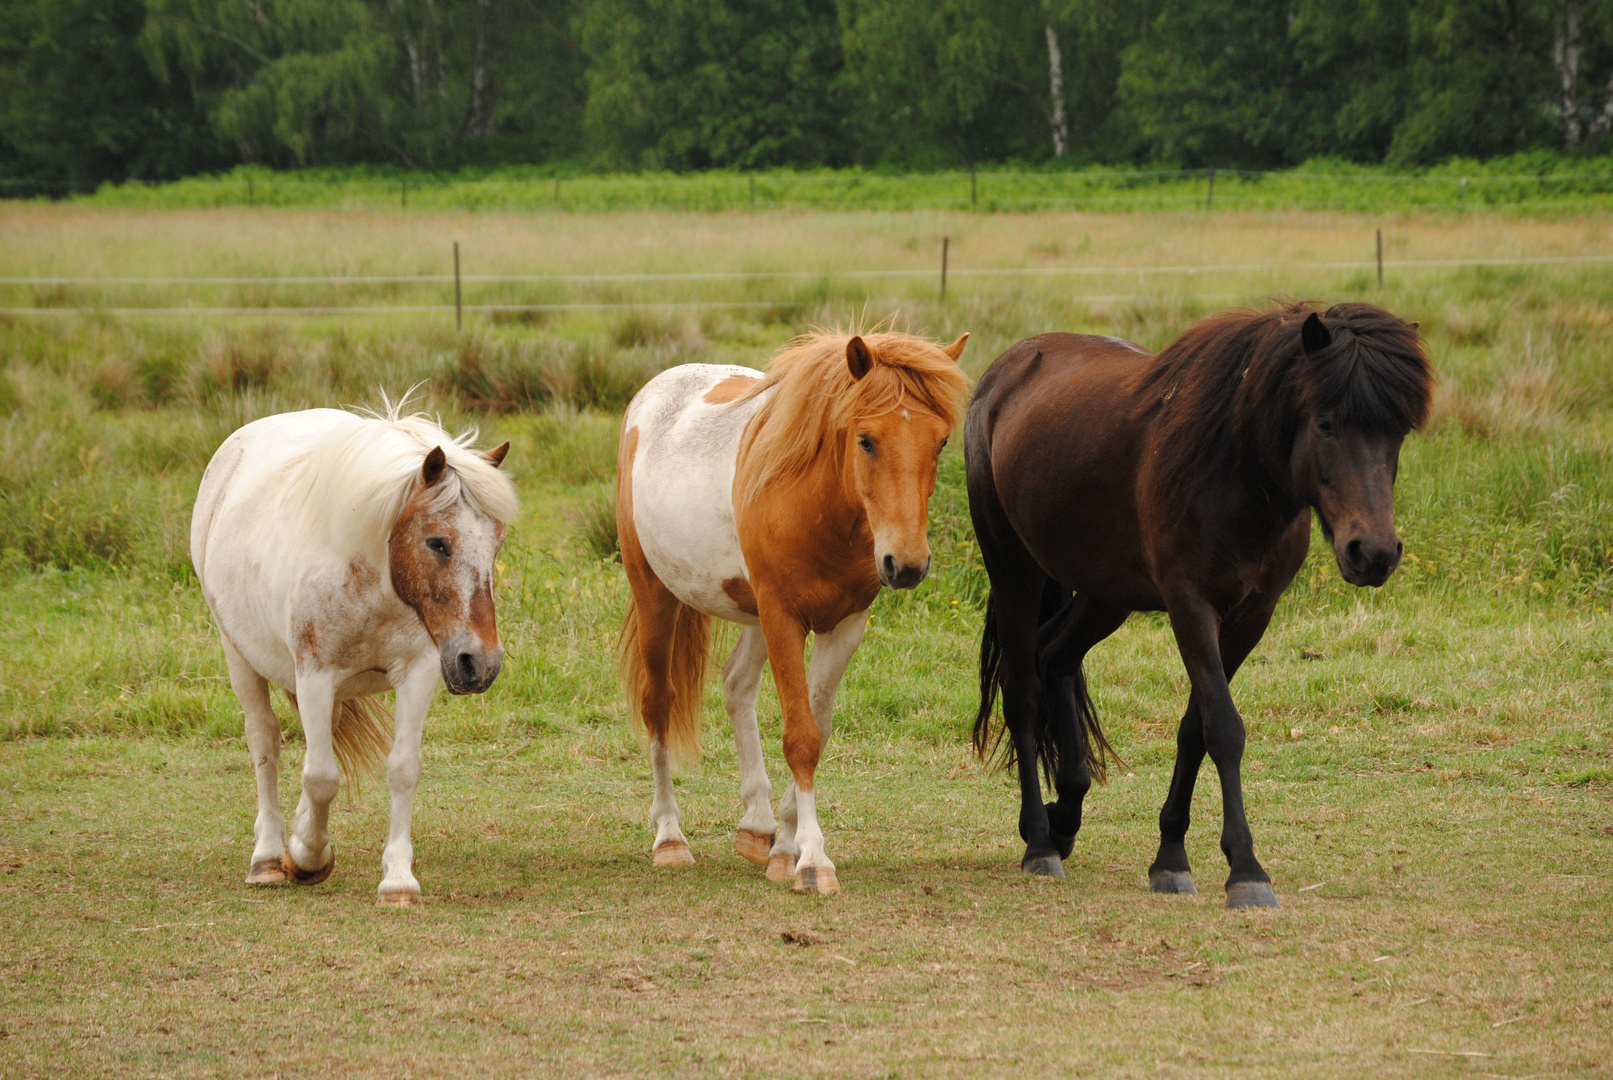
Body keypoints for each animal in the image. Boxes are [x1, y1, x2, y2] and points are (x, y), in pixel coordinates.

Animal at [191, 404, 512, 902]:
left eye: (496, 544)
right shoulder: (315, 674)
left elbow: (402, 768)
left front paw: (397, 879)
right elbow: (321, 776)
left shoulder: (419, 672)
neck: (376, 582)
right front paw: (308, 858)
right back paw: (269, 856)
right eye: (437, 542)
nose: (481, 664)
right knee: (264, 741)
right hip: (239, 654)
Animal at [616, 330, 967, 896]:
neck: (817, 503)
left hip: (751, 610)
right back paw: (670, 837)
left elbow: (816, 728)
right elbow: (800, 737)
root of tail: (653, 392)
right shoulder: (784, 617)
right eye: (866, 440)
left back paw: (755, 826)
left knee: (737, 683)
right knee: (657, 703)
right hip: (655, 595)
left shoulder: (844, 627)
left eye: (940, 442)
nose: (907, 565)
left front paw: (785, 846)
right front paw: (813, 862)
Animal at [961, 299, 1432, 909]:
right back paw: (1041, 844)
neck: (1234, 470)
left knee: (1056, 658)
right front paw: (1247, 871)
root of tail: (1006, 372)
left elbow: (1195, 728)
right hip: (1013, 568)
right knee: (1021, 691)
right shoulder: (1191, 607)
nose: (1373, 553)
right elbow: (1224, 729)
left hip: (1106, 593)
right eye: (1326, 423)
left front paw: (1170, 857)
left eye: (1397, 431)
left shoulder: (1251, 617)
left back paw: (1065, 814)